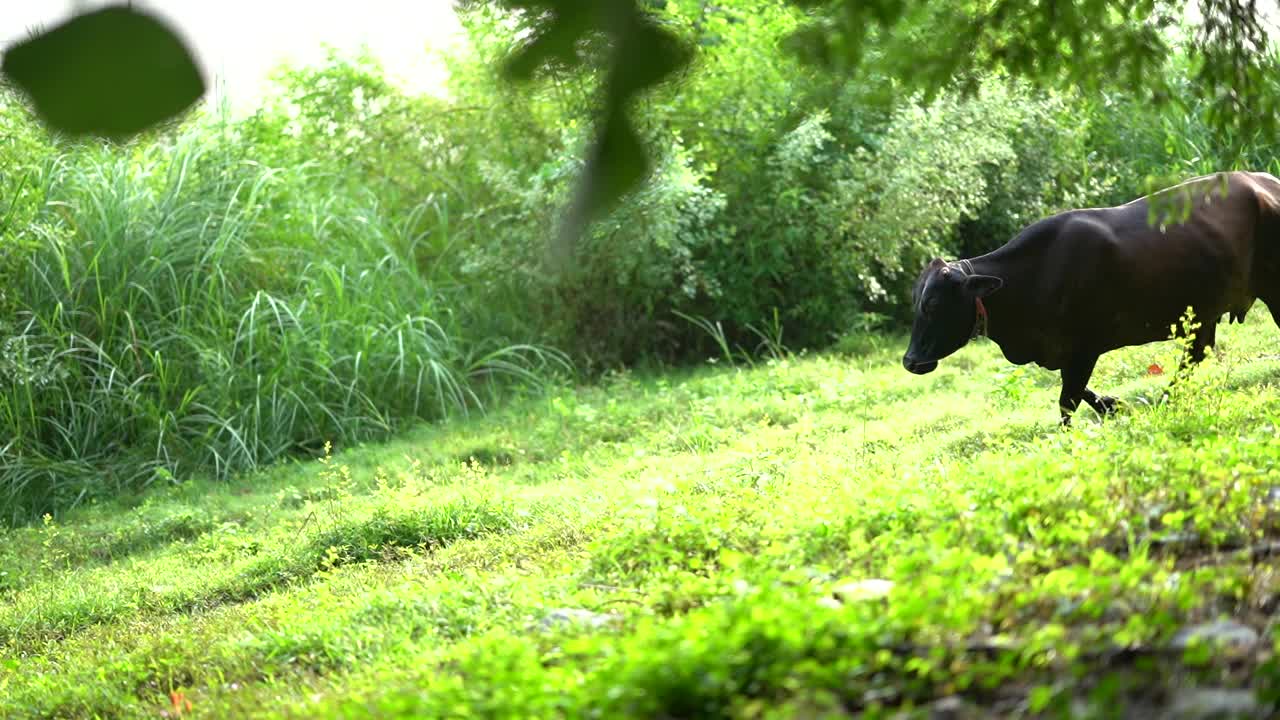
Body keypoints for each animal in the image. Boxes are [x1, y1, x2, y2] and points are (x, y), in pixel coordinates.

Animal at [901, 170, 1280, 422]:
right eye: (916, 302)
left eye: (933, 304)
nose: (910, 361)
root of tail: (1263, 181)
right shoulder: (1063, 353)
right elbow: (1080, 392)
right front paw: (1114, 406)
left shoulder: (1085, 347)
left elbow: (1067, 400)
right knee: (1195, 354)